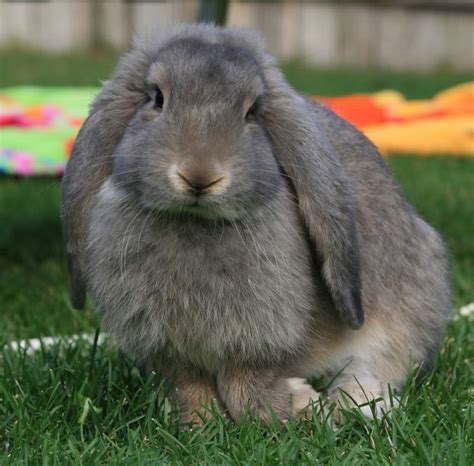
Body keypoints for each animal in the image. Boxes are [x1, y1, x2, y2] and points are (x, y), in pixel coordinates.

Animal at [61, 20, 450, 422]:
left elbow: (243, 383)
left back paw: (351, 401)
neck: (194, 222)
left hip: (406, 314)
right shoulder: (169, 351)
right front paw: (199, 423)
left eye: (251, 112)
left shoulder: (257, 341)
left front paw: (300, 406)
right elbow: (189, 387)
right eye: (157, 98)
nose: (199, 176)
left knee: (379, 368)